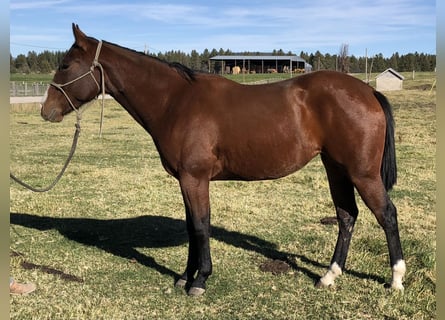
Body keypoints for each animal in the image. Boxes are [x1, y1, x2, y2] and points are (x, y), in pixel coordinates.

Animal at [40, 23, 404, 296]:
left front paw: (199, 281)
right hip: (336, 169)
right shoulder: (186, 180)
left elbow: (201, 226)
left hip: (362, 173)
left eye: (65, 65)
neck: (175, 101)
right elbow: (191, 226)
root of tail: (368, 92)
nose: (47, 111)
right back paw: (329, 275)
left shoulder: (195, 178)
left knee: (386, 214)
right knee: (347, 216)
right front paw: (184, 277)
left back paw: (396, 279)